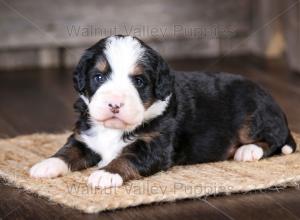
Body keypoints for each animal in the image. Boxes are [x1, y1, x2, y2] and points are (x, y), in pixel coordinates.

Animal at [28, 35, 296, 188]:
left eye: (139, 81)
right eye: (99, 77)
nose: (115, 104)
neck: (114, 129)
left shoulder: (154, 145)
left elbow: (127, 157)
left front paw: (106, 174)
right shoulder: (85, 136)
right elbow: (69, 150)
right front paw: (47, 165)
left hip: (253, 115)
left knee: (274, 139)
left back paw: (248, 150)